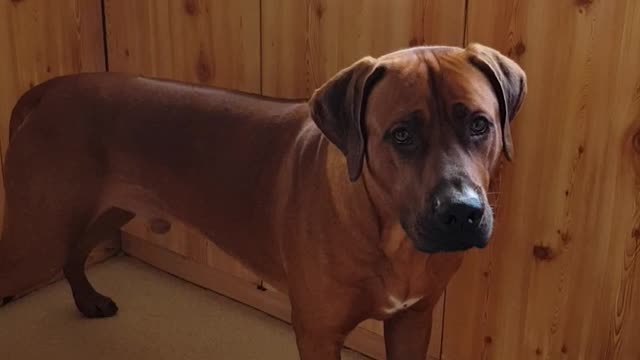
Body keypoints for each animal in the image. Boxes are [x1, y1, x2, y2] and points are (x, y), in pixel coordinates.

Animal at [0, 43, 524, 358]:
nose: (462, 212)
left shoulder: (413, 322)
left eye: (479, 124)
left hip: (101, 210)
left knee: (73, 253)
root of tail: (46, 90)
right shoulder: (317, 332)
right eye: (401, 135)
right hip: (38, 231)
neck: (387, 232)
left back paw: (87, 300)